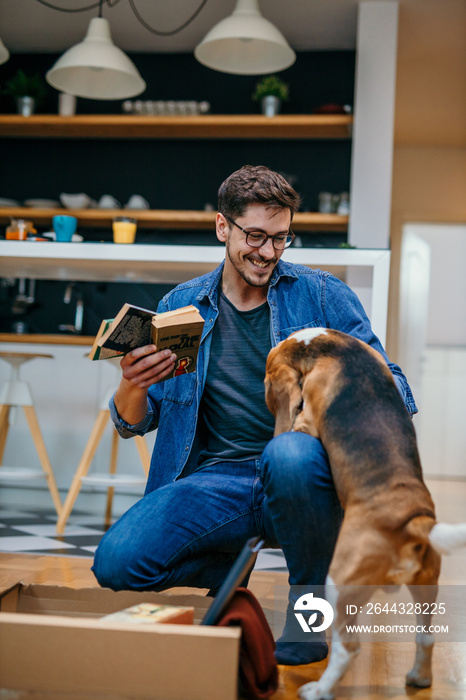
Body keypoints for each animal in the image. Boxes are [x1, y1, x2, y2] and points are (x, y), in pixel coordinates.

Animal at [266, 328, 466, 700]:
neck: (329, 346)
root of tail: (414, 520)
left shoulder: (306, 421)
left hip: (340, 581)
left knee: (349, 649)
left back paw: (318, 689)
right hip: (427, 585)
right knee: (426, 636)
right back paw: (419, 677)